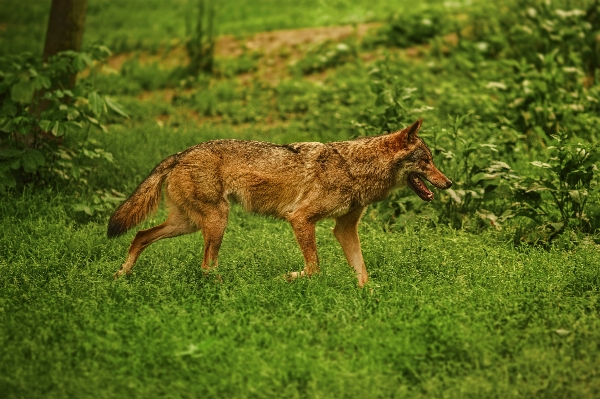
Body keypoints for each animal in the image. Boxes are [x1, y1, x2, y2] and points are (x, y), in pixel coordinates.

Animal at [109, 119, 450, 288]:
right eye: (427, 162)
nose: (449, 183)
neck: (355, 168)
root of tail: (181, 153)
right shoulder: (300, 218)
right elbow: (314, 269)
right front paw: (286, 278)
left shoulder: (344, 229)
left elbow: (362, 272)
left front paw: (369, 299)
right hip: (216, 221)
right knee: (206, 266)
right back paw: (227, 288)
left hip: (190, 224)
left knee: (141, 236)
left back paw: (120, 277)